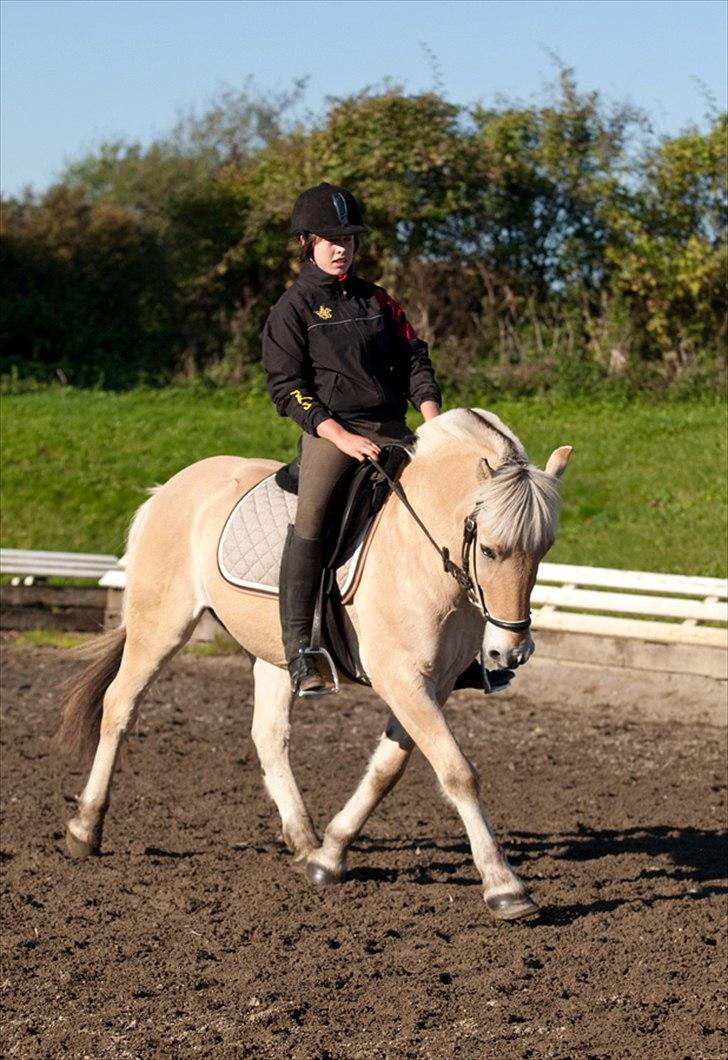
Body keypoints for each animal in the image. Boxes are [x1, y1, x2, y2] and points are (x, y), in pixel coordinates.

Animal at [58, 407, 571, 921]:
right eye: (488, 550)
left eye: (543, 551)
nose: (512, 652)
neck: (422, 549)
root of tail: (170, 487)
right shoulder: (402, 679)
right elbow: (457, 772)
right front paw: (505, 885)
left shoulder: (433, 684)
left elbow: (386, 770)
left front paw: (330, 855)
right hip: (161, 626)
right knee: (120, 706)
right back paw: (85, 827)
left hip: (274, 654)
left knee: (268, 736)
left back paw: (304, 841)